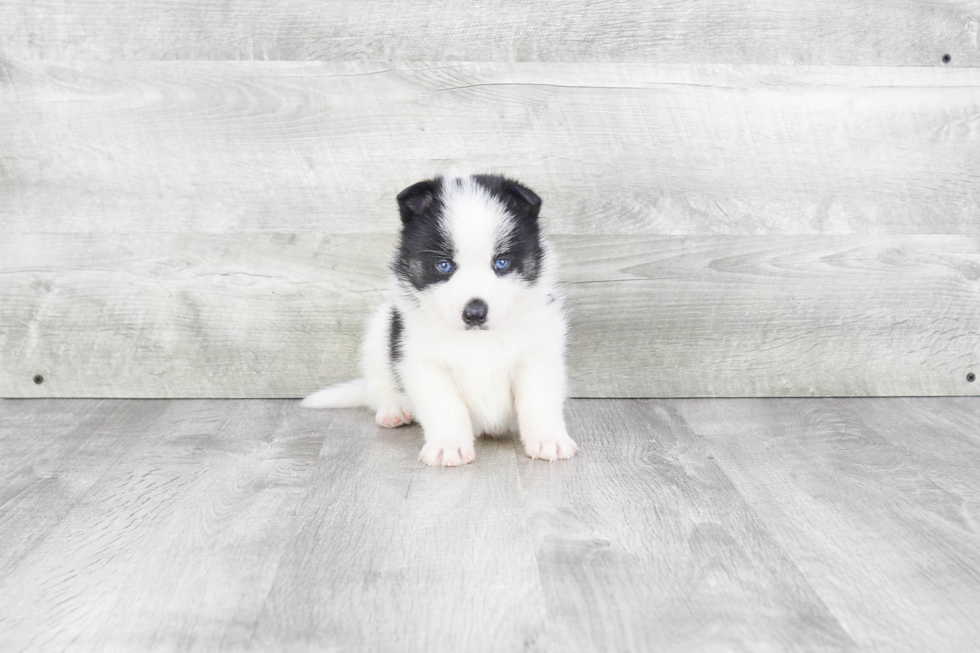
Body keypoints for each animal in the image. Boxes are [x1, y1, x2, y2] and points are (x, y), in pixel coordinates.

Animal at [302, 173, 580, 466]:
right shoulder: (422, 361)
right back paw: (394, 409)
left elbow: (538, 400)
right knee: (378, 387)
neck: (478, 341)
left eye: (501, 263)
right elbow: (445, 406)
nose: (475, 313)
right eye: (444, 265)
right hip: (380, 330)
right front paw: (449, 446)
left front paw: (549, 440)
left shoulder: (539, 354)